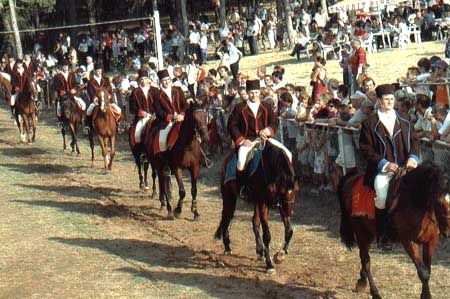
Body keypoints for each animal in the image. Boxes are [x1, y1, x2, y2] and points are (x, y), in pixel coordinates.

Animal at [214, 142, 298, 274]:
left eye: (295, 191)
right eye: (284, 191)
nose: (290, 212)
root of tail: (227, 158)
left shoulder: (277, 204)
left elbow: (289, 231)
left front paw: (280, 255)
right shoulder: (264, 203)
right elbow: (267, 236)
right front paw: (269, 265)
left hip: (255, 202)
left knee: (254, 222)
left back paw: (259, 251)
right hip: (229, 196)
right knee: (227, 216)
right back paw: (227, 247)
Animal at [340, 162, 450, 299]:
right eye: (439, 202)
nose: (448, 231)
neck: (416, 201)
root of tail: (353, 178)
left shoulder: (431, 241)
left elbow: (428, 270)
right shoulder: (409, 241)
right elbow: (423, 273)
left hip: (369, 233)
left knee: (364, 257)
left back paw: (362, 281)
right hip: (361, 232)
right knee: (366, 260)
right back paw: (375, 292)